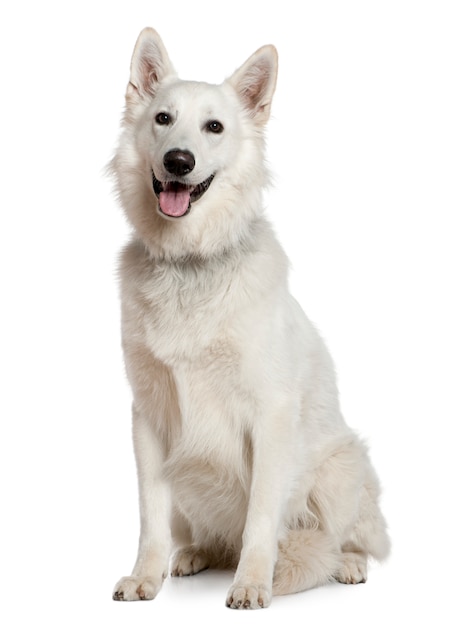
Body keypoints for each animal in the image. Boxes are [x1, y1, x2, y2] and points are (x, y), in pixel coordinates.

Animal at [110, 26, 390, 608]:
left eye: (214, 126)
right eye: (163, 118)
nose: (178, 161)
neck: (191, 263)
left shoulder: (271, 417)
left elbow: (262, 517)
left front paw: (253, 583)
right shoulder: (148, 416)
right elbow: (150, 516)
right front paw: (146, 576)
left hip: (340, 467)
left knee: (348, 534)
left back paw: (347, 562)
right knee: (207, 536)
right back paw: (195, 554)